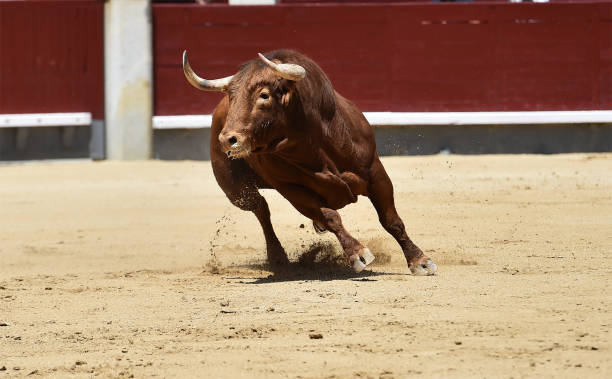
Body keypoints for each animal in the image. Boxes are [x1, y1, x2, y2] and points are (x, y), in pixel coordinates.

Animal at [182, 49, 436, 276]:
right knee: (261, 209)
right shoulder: (293, 191)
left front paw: (420, 261)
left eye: (264, 95)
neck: (314, 144)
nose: (228, 139)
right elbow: (331, 216)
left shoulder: (375, 172)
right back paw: (279, 259)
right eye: (231, 97)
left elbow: (391, 220)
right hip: (237, 192)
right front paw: (357, 253)